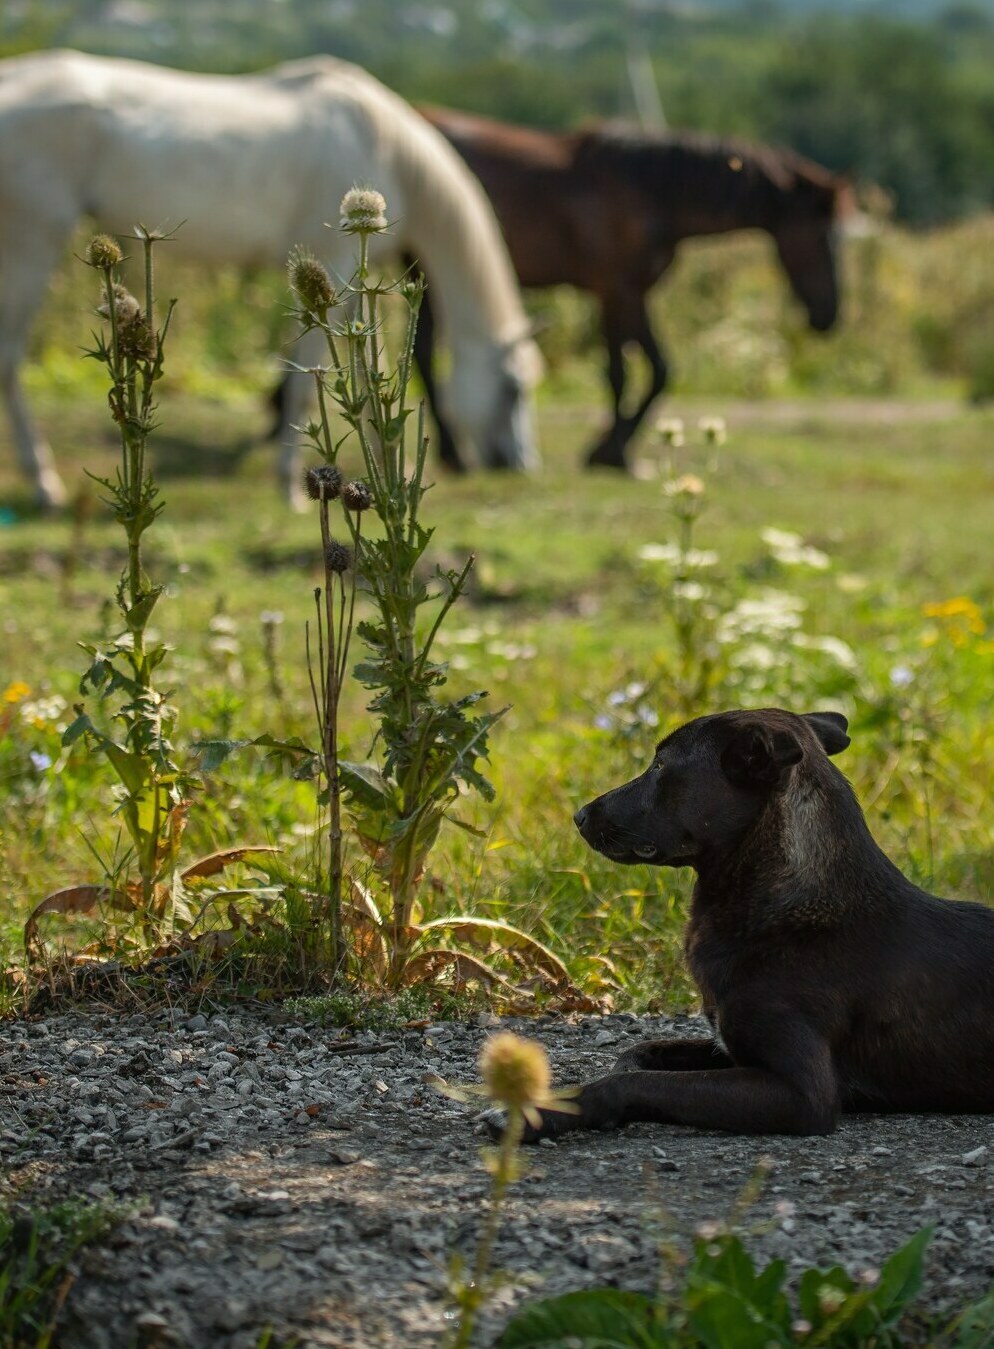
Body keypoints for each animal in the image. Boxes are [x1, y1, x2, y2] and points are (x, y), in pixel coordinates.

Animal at [0, 49, 542, 507]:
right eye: (513, 389)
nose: (519, 465)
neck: (384, 145)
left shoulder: (354, 289)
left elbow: (372, 370)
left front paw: (392, 472)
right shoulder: (335, 266)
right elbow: (308, 380)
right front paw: (292, 486)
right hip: (31, 242)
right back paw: (45, 485)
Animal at [415, 109, 846, 474]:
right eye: (822, 236)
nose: (829, 317)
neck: (649, 193)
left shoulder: (636, 293)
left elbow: (660, 368)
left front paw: (613, 449)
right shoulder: (613, 290)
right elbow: (619, 373)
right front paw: (610, 453)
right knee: (423, 355)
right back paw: (454, 453)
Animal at [528, 706, 992, 1138]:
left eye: (660, 767)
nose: (579, 816)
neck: (787, 909)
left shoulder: (802, 1093)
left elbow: (629, 1081)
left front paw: (547, 1112)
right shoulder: (725, 1046)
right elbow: (636, 1055)